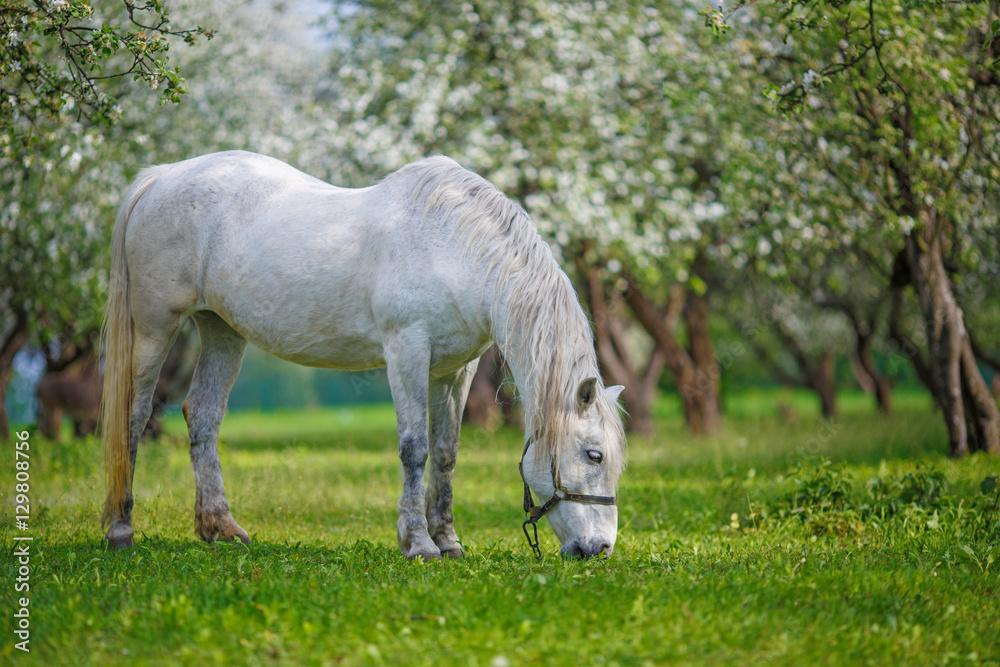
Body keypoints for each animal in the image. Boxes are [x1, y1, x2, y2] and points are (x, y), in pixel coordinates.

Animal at [100, 151, 627, 559]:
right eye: (594, 454)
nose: (600, 549)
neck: (455, 249)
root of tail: (162, 177)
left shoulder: (455, 371)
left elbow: (446, 454)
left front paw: (449, 541)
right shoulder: (407, 352)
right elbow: (414, 449)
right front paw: (419, 544)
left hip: (222, 331)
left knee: (203, 416)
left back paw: (221, 529)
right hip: (156, 327)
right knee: (133, 416)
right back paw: (120, 530)